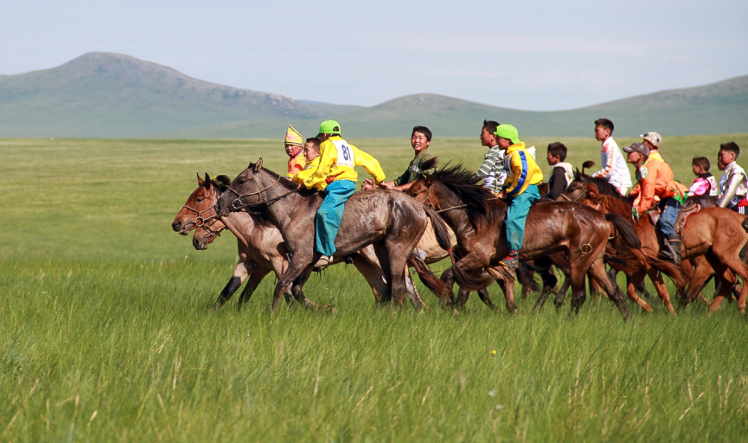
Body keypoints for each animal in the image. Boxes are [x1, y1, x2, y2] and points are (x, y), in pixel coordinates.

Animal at [406, 163, 640, 322]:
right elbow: (499, 284)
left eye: (415, 192)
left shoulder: (478, 257)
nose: (406, 204)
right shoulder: (491, 262)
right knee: (613, 292)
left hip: (577, 258)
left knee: (578, 293)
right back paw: (628, 321)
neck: (474, 217)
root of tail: (602, 216)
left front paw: (448, 303)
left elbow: (450, 274)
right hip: (594, 260)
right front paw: (511, 309)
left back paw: (566, 319)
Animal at [564, 182, 748, 314]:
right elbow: (633, 291)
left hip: (725, 255)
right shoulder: (644, 266)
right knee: (728, 280)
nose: (574, 214)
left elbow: (662, 292)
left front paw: (671, 313)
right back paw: (710, 312)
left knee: (742, 275)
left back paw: (740, 307)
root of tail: (740, 218)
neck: (635, 226)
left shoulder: (651, 265)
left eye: (584, 202)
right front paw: (650, 309)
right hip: (714, 256)